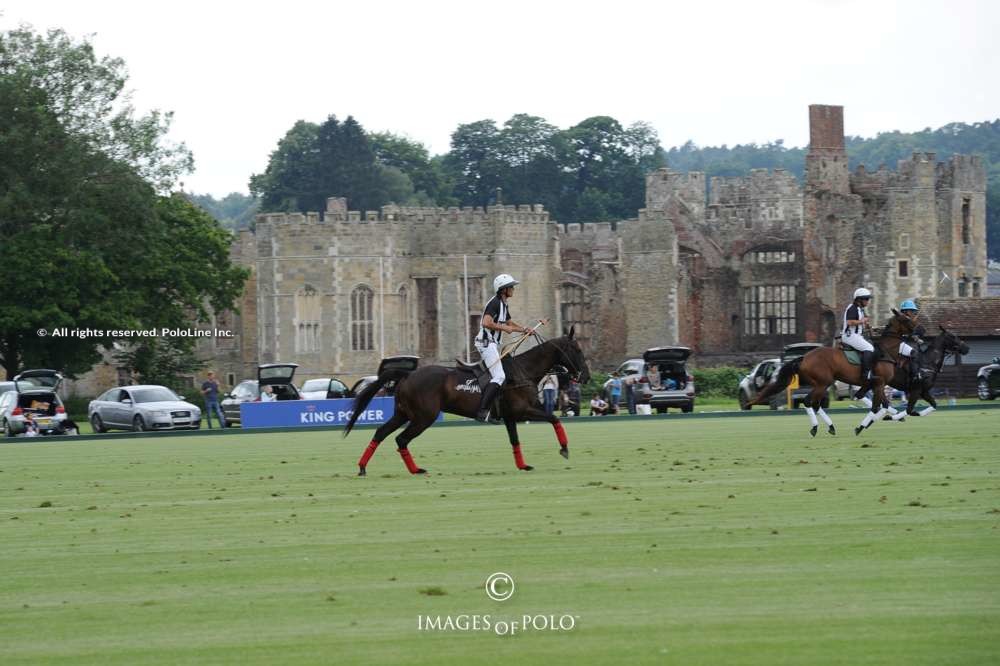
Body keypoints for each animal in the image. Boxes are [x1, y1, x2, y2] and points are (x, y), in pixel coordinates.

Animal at [348, 326, 588, 472]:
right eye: (577, 349)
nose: (585, 376)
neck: (525, 371)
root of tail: (407, 375)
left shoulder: (510, 417)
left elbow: (515, 441)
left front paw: (523, 465)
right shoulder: (522, 411)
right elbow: (554, 418)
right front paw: (564, 449)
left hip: (403, 413)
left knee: (381, 433)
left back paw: (362, 467)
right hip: (424, 417)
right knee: (401, 439)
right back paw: (416, 470)